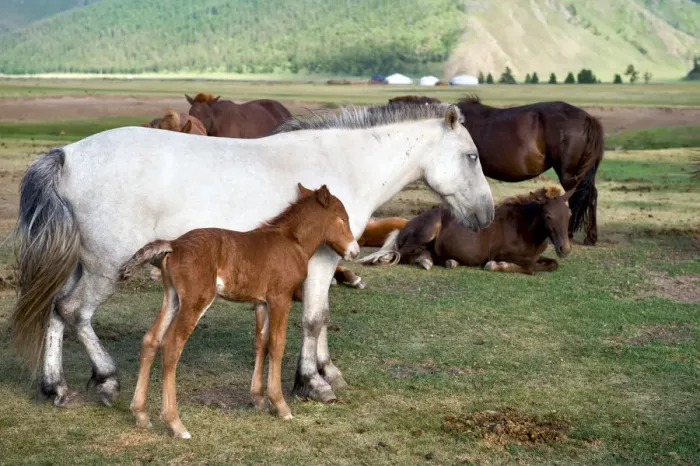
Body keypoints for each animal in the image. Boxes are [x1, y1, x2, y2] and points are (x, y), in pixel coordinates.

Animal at [12, 102, 494, 409]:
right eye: (472, 156)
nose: (487, 214)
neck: (344, 165)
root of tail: (68, 154)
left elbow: (321, 318)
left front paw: (327, 371)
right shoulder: (321, 263)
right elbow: (313, 319)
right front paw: (312, 383)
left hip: (82, 266)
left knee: (55, 310)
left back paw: (56, 388)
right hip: (106, 269)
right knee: (75, 312)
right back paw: (107, 379)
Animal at [120, 184, 358, 438]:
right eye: (343, 218)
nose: (355, 251)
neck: (291, 241)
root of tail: (173, 245)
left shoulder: (261, 303)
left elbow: (262, 342)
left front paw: (259, 400)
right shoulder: (280, 298)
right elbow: (277, 344)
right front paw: (280, 405)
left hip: (172, 298)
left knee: (151, 340)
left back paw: (141, 414)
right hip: (195, 301)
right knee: (172, 345)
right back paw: (176, 424)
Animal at [358, 186, 573, 275]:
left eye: (569, 214)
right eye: (548, 216)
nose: (565, 249)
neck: (522, 228)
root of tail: (406, 225)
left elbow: (551, 264)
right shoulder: (501, 253)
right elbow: (529, 267)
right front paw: (497, 266)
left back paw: (446, 261)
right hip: (427, 231)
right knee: (402, 253)